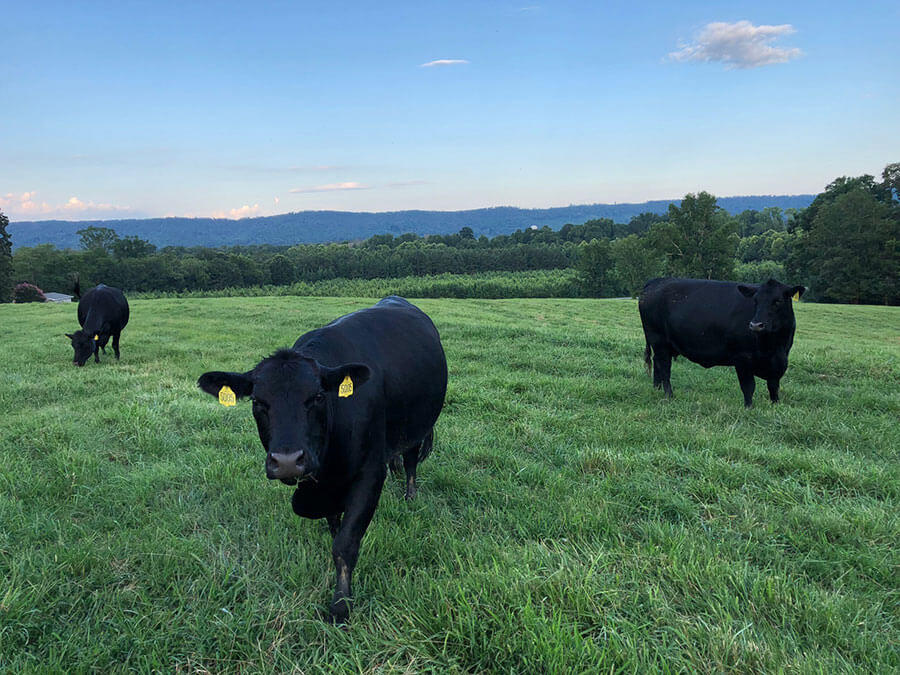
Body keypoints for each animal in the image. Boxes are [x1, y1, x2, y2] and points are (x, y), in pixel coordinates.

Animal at [198, 296, 450, 624]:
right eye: (258, 402)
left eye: (317, 397)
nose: (287, 460)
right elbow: (334, 525)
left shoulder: (369, 473)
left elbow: (345, 544)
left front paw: (340, 605)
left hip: (417, 424)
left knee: (410, 461)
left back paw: (409, 495)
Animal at [640, 278, 808, 406]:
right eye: (755, 301)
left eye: (778, 301)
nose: (755, 325)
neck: (773, 347)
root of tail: (658, 280)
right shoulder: (742, 358)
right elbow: (748, 386)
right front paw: (749, 408)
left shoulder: (780, 359)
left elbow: (773, 387)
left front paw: (775, 406)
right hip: (659, 340)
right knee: (664, 367)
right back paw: (669, 395)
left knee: (657, 363)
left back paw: (656, 388)